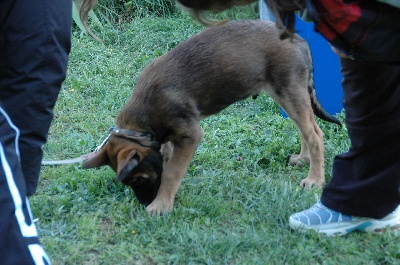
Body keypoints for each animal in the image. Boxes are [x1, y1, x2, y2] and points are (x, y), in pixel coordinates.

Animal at [83, 20, 340, 214]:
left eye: (138, 179)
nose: (144, 202)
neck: (143, 122)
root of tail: (299, 39)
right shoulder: (169, 139)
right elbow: (169, 164)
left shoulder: (190, 135)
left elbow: (172, 172)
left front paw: (161, 206)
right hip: (288, 95)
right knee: (305, 128)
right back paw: (304, 159)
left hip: (288, 92)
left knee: (315, 134)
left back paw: (315, 179)